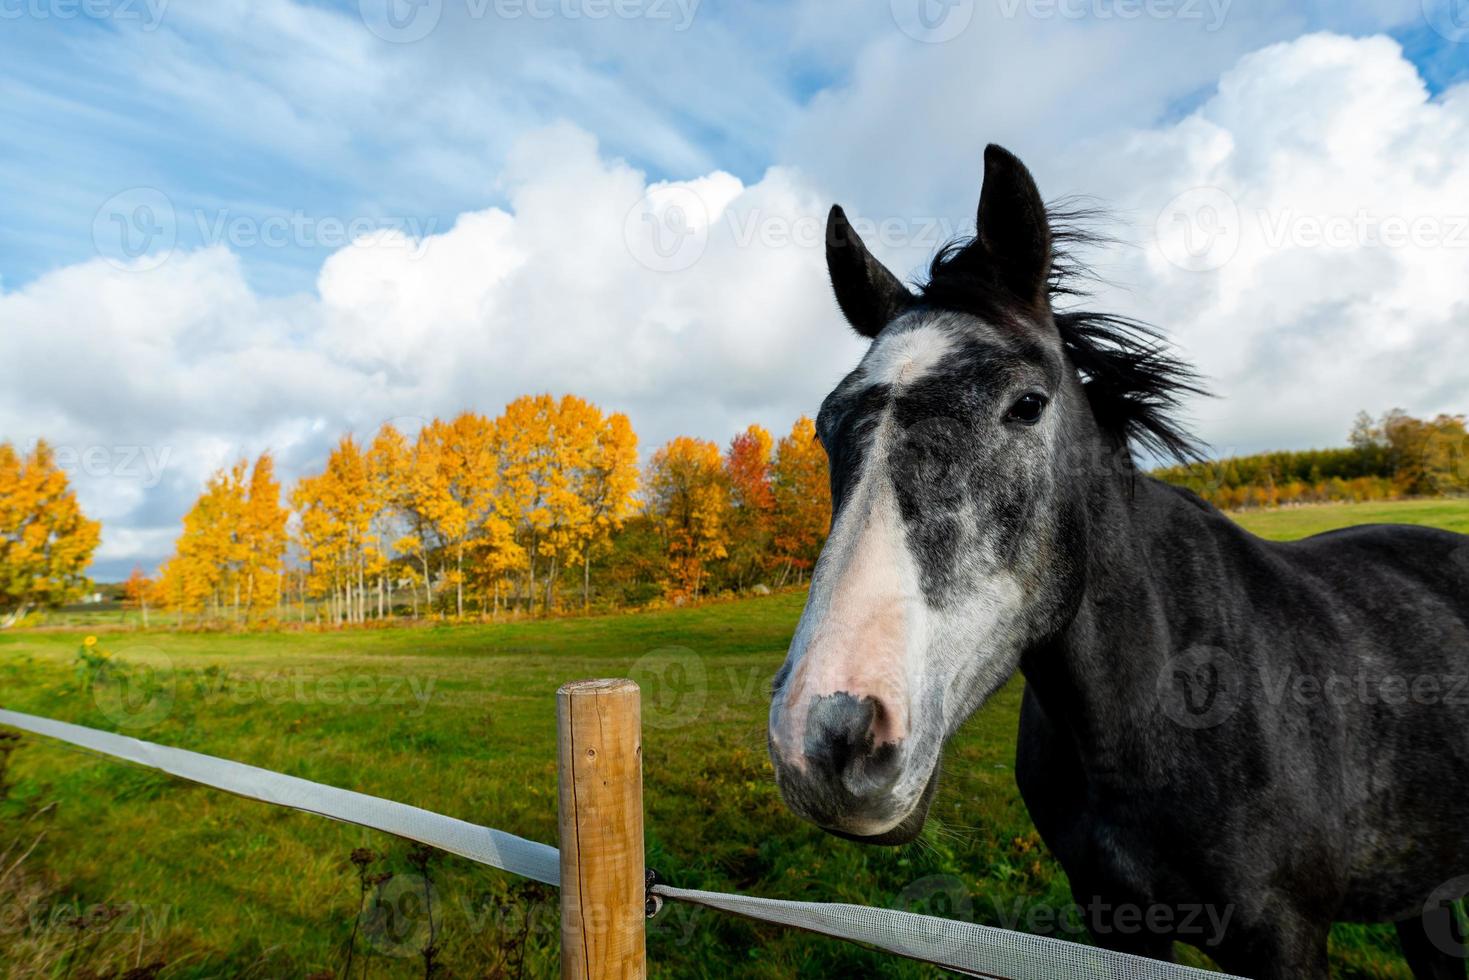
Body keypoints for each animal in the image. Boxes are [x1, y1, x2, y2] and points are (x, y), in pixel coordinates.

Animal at [763, 145, 1469, 980]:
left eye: (1027, 405)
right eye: (825, 425)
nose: (823, 738)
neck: (1164, 709)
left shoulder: (1285, 938)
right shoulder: (1115, 925)